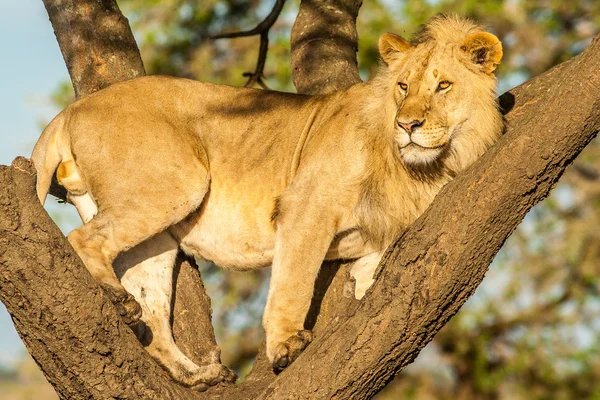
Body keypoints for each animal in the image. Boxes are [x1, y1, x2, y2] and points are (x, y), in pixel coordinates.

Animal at [31, 15, 502, 390]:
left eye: (443, 86)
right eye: (404, 86)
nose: (408, 125)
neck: (427, 167)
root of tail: (74, 108)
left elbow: (372, 259)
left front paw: (365, 282)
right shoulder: (306, 205)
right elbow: (293, 281)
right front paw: (286, 345)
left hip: (156, 234)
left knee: (152, 314)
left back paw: (196, 375)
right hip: (179, 184)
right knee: (82, 240)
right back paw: (116, 298)